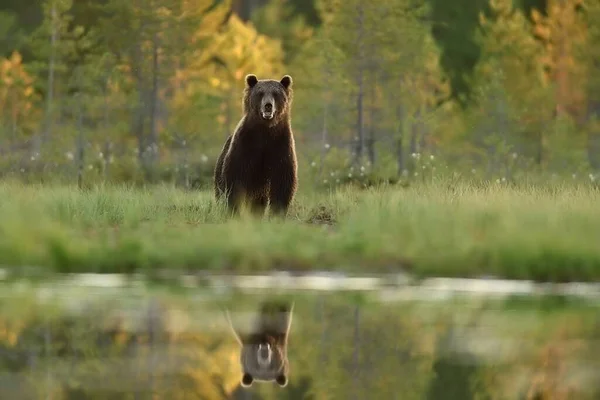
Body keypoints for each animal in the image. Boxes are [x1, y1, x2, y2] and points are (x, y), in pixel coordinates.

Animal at [216, 72, 300, 216]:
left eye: (276, 93)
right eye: (260, 93)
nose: (268, 105)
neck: (265, 130)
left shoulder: (280, 145)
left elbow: (283, 181)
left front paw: (277, 212)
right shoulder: (246, 146)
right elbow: (234, 178)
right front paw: (234, 209)